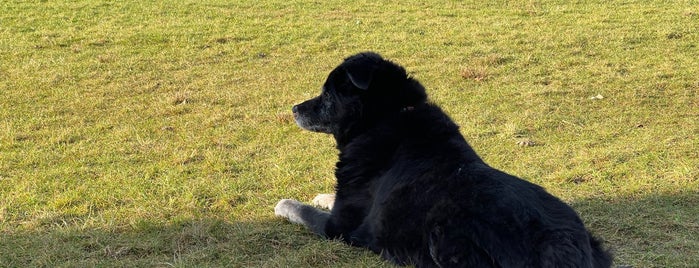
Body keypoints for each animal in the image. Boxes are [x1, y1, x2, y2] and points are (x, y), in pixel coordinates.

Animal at [274, 52, 612, 268]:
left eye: (327, 95)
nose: (294, 108)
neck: (386, 118)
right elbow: (327, 198)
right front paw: (321, 195)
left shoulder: (339, 227)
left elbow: (302, 211)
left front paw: (285, 204)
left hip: (444, 236)